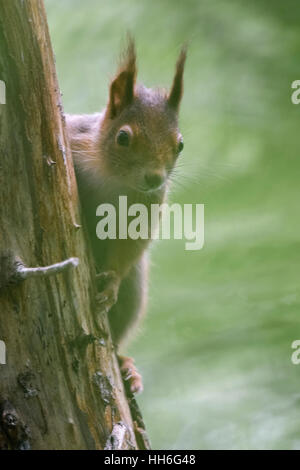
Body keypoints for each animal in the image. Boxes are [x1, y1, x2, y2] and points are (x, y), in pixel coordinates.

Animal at [66, 39, 185, 392]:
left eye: (180, 145)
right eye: (123, 137)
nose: (154, 178)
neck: (114, 178)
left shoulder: (149, 204)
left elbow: (131, 243)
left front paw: (111, 283)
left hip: (135, 291)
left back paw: (125, 366)